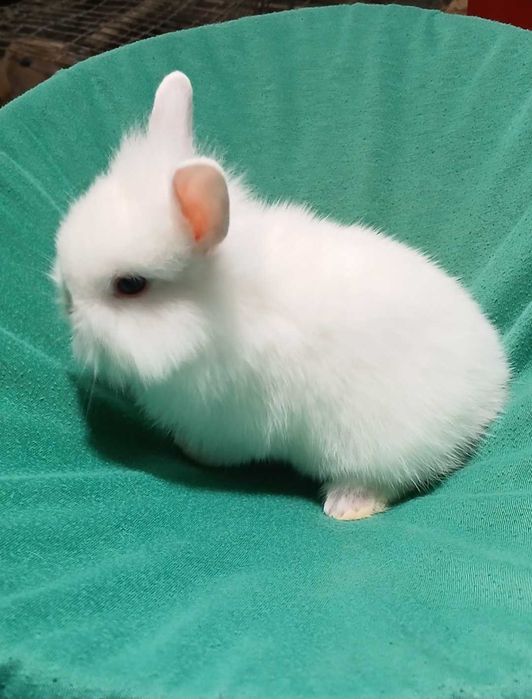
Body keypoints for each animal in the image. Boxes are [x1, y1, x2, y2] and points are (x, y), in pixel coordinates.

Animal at [53, 71, 509, 520]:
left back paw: (347, 506)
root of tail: (492, 386)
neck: (215, 310)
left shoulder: (229, 422)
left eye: (130, 285)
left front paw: (190, 451)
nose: (68, 301)